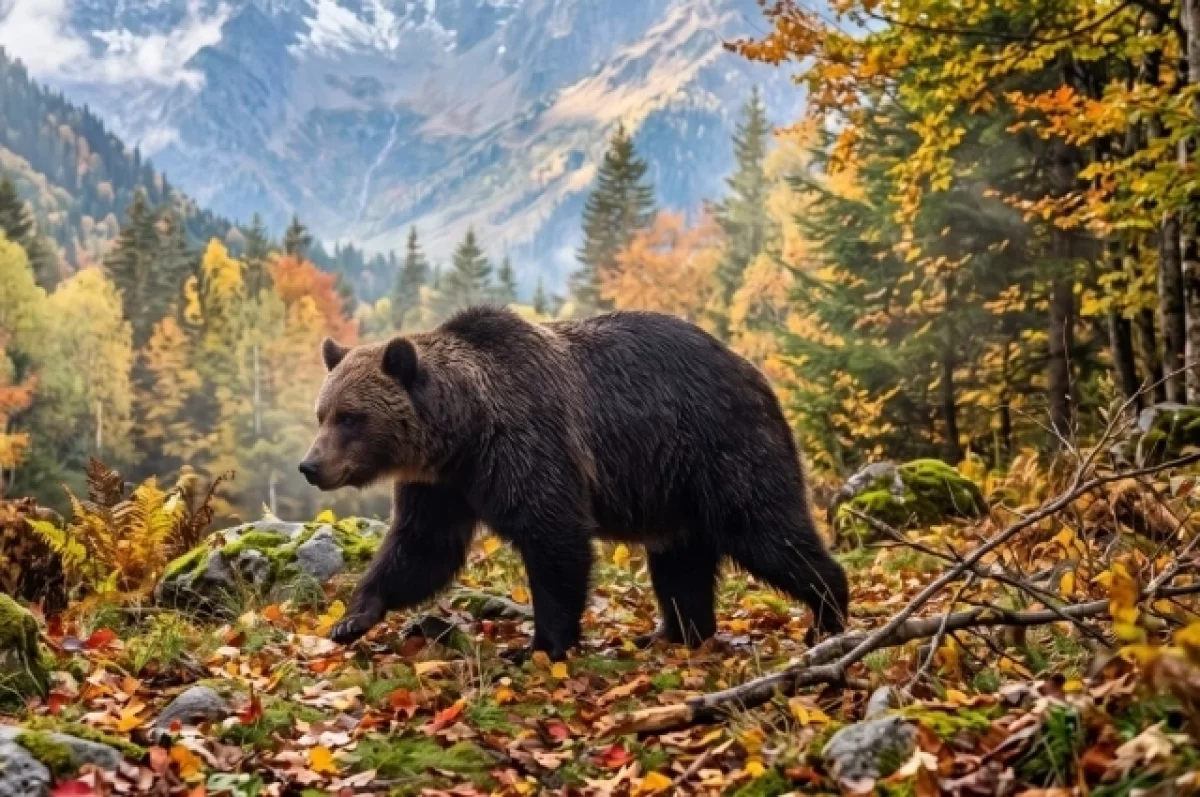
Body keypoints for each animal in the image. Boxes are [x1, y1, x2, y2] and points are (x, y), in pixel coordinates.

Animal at [299, 306, 849, 660]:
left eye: (351, 417)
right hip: (673, 491)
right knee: (680, 562)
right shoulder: (443, 486)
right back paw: (675, 633)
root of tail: (753, 370)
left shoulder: (528, 445)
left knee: (764, 529)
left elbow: (554, 538)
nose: (311, 465)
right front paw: (352, 617)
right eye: (323, 413)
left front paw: (539, 646)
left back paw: (828, 613)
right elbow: (422, 548)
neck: (464, 433)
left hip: (721, 448)